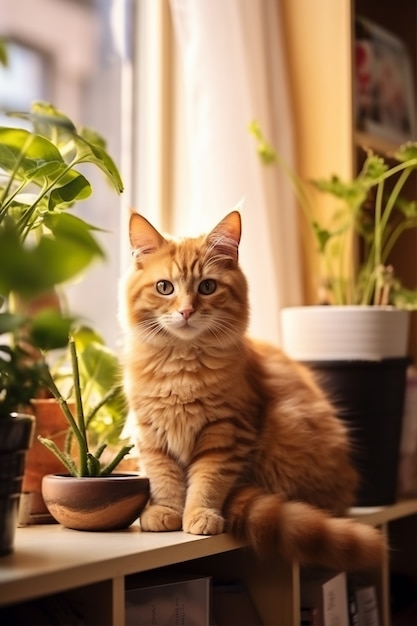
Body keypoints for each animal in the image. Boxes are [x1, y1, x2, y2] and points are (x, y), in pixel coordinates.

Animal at [118, 207, 386, 568]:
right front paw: (166, 511)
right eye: (164, 287)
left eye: (207, 287)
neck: (182, 367)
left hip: (285, 432)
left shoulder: (227, 433)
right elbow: (165, 479)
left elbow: (208, 481)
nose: (186, 311)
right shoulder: (151, 435)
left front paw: (200, 514)